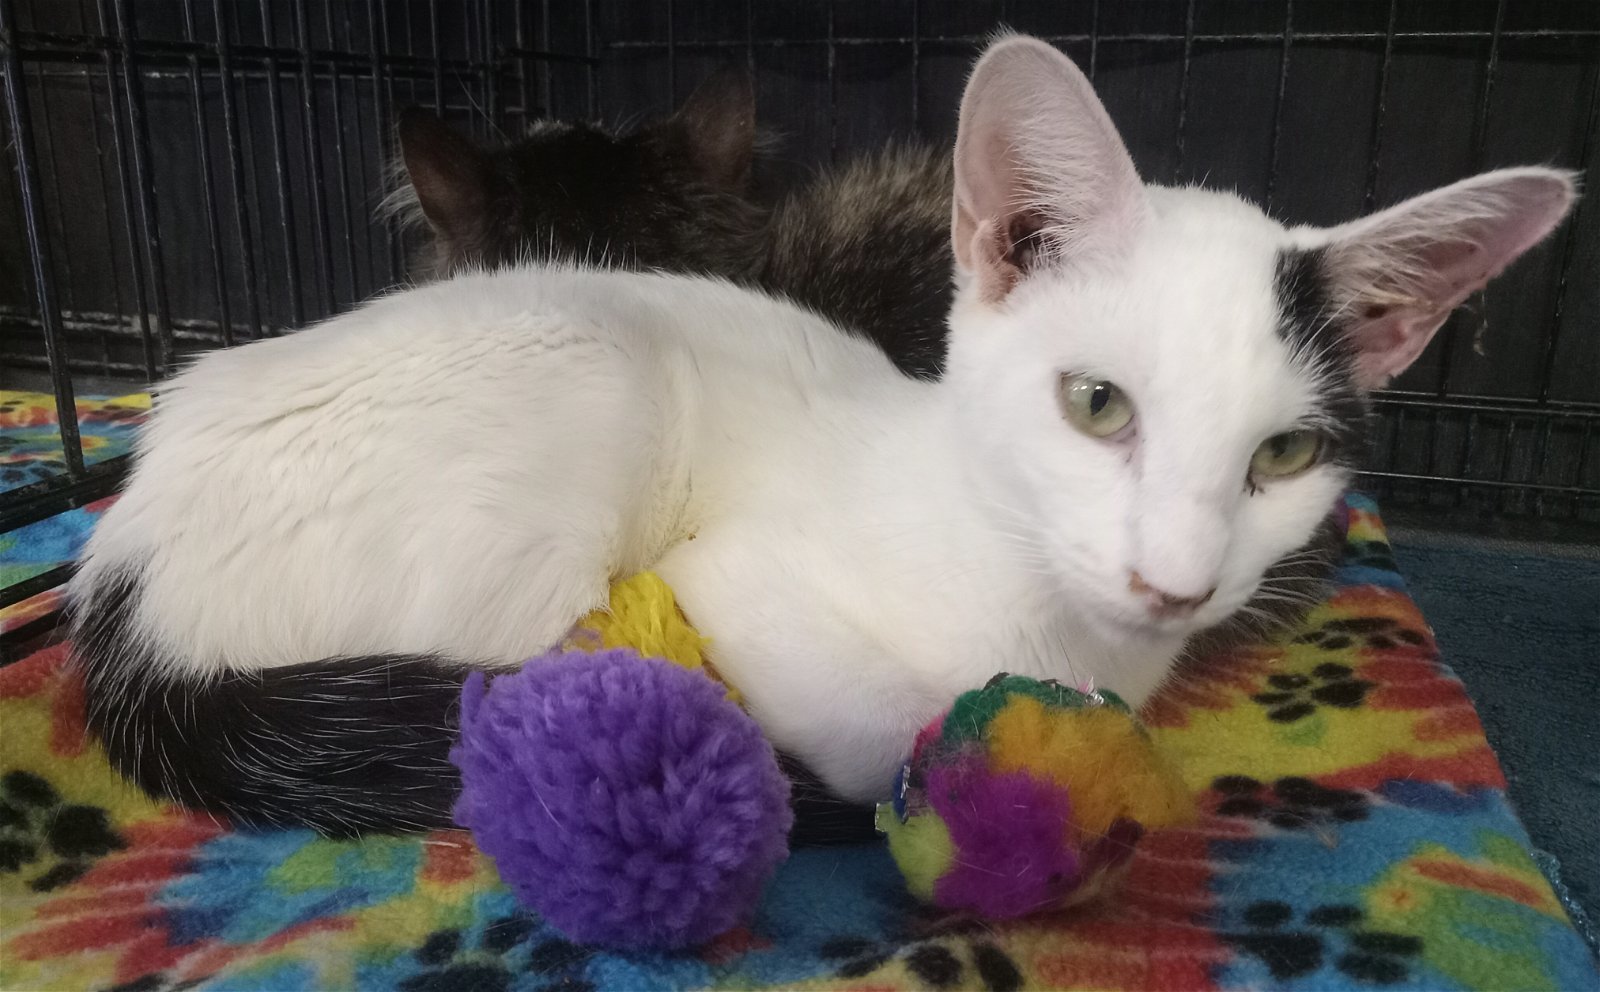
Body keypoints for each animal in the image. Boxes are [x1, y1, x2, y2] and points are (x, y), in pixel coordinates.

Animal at [72, 34, 1574, 832]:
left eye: (1281, 458)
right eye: (1096, 404)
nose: (1175, 584)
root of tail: (119, 577)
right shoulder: (730, 575)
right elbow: (882, 726)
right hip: (576, 427)